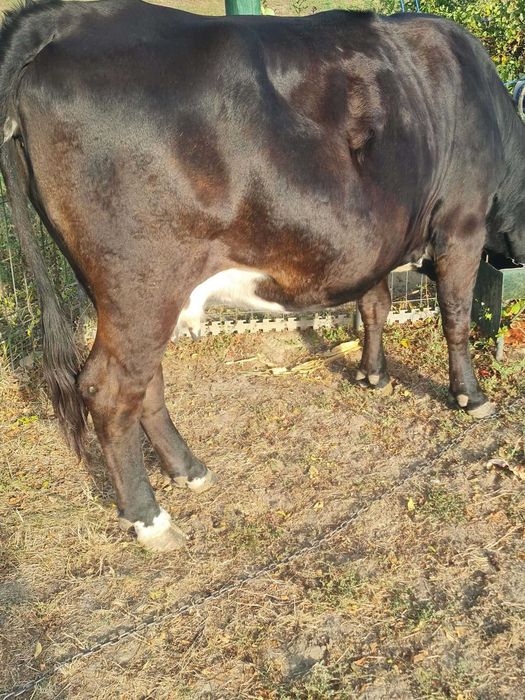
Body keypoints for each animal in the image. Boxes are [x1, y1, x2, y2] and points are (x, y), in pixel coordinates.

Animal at [1, 0, 524, 551]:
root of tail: (64, 17)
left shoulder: (380, 243)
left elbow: (374, 305)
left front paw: (373, 374)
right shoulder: (461, 225)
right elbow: (456, 318)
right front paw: (470, 396)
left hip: (130, 293)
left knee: (146, 382)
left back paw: (188, 469)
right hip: (141, 282)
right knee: (109, 389)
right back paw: (150, 518)